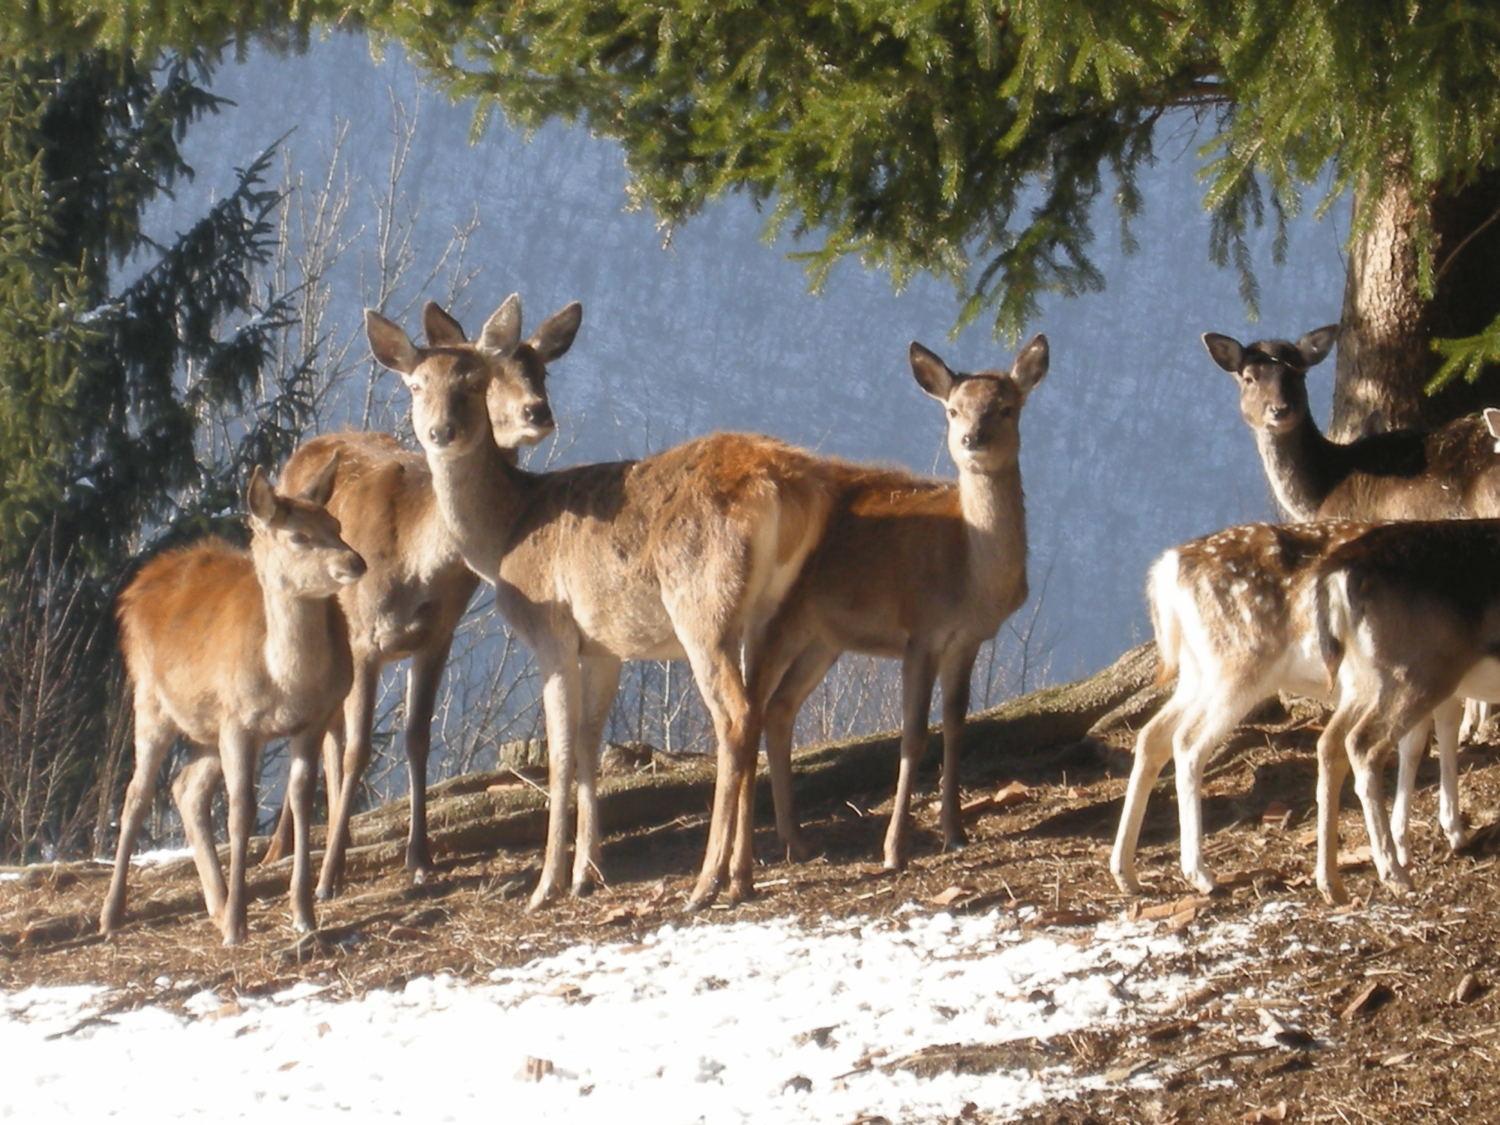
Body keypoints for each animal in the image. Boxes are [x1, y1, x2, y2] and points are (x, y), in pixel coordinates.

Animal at [103, 462, 366, 948]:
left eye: (336, 525)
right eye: (298, 536)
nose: (355, 562)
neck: (288, 682)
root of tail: (137, 584)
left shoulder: (311, 721)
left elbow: (302, 800)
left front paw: (303, 914)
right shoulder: (239, 723)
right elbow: (241, 810)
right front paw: (237, 929)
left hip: (207, 726)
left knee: (186, 788)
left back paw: (217, 903)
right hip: (151, 699)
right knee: (136, 794)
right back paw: (112, 916)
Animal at [363, 295, 834, 912]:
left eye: (474, 382)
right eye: (416, 385)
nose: (442, 430)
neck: (505, 536)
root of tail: (784, 488)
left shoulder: (552, 630)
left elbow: (560, 752)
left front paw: (546, 886)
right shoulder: (606, 644)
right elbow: (590, 743)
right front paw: (589, 871)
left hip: (702, 607)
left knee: (733, 715)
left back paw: (705, 883)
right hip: (769, 612)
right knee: (763, 709)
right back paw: (748, 871)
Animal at [750, 334, 1056, 870]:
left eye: (1007, 407)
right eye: (953, 410)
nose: (973, 440)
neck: (969, 579)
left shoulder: (968, 640)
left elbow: (956, 725)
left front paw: (956, 832)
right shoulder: (920, 631)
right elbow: (913, 734)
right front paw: (894, 850)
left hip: (822, 637)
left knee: (780, 708)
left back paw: (798, 841)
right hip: (774, 620)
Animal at [1110, 525, 1458, 906]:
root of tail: (1165, 572)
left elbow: (1419, 741)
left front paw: (1413, 840)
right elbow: (1439, 733)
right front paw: (1451, 831)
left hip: (1196, 669)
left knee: (1151, 735)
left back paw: (1126, 873)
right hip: (1237, 666)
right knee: (1187, 742)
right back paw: (1200, 874)